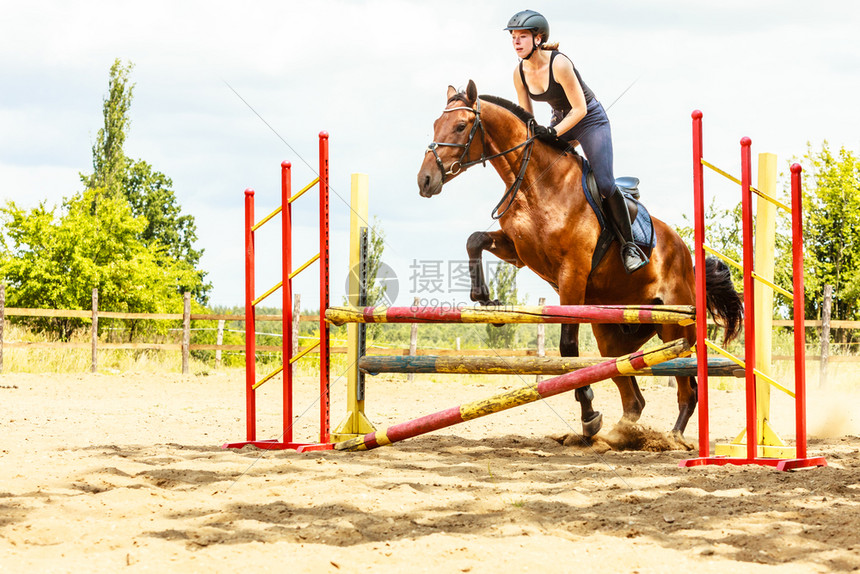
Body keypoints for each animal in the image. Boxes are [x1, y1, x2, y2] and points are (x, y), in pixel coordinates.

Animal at [414, 80, 740, 446]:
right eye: (435, 124)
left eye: (460, 126)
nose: (425, 180)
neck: (536, 182)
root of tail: (687, 257)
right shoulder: (519, 252)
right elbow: (475, 239)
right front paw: (486, 300)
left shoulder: (573, 274)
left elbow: (567, 347)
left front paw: (589, 415)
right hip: (613, 334)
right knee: (633, 396)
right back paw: (622, 435)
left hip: (675, 326)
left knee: (688, 389)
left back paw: (671, 438)